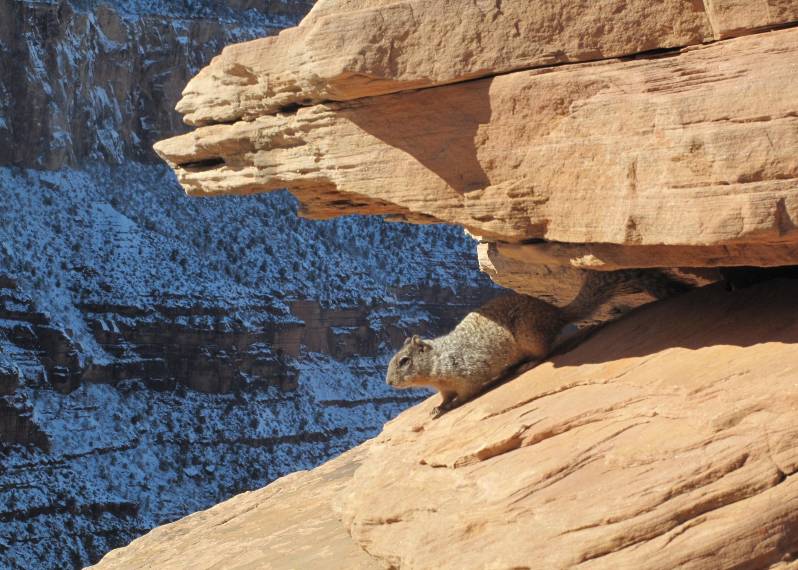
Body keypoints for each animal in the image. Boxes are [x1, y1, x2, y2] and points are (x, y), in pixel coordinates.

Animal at [386, 269, 690, 418]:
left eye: (404, 361)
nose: (388, 382)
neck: (438, 362)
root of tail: (556, 314)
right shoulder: (444, 386)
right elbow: (445, 397)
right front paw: (437, 408)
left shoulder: (466, 372)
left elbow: (467, 391)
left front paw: (451, 406)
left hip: (529, 334)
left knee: (546, 351)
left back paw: (525, 364)